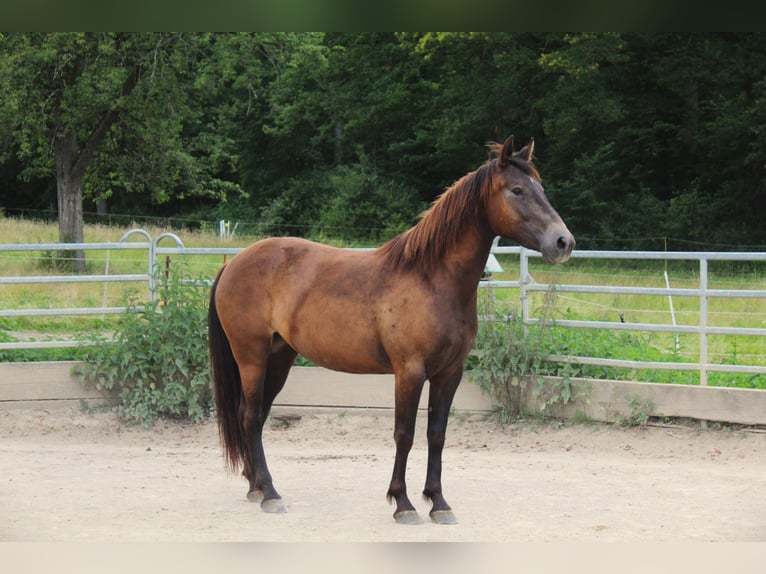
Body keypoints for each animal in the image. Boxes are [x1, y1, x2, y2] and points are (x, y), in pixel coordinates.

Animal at [208, 135, 576, 528]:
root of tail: (235, 263)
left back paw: (256, 486)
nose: (563, 242)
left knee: (255, 414)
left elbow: (436, 434)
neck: (431, 279)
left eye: (541, 188)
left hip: (279, 358)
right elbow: (405, 434)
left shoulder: (449, 373)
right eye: (517, 190)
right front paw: (403, 503)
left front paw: (438, 502)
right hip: (251, 357)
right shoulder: (409, 372)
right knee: (250, 416)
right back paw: (270, 493)